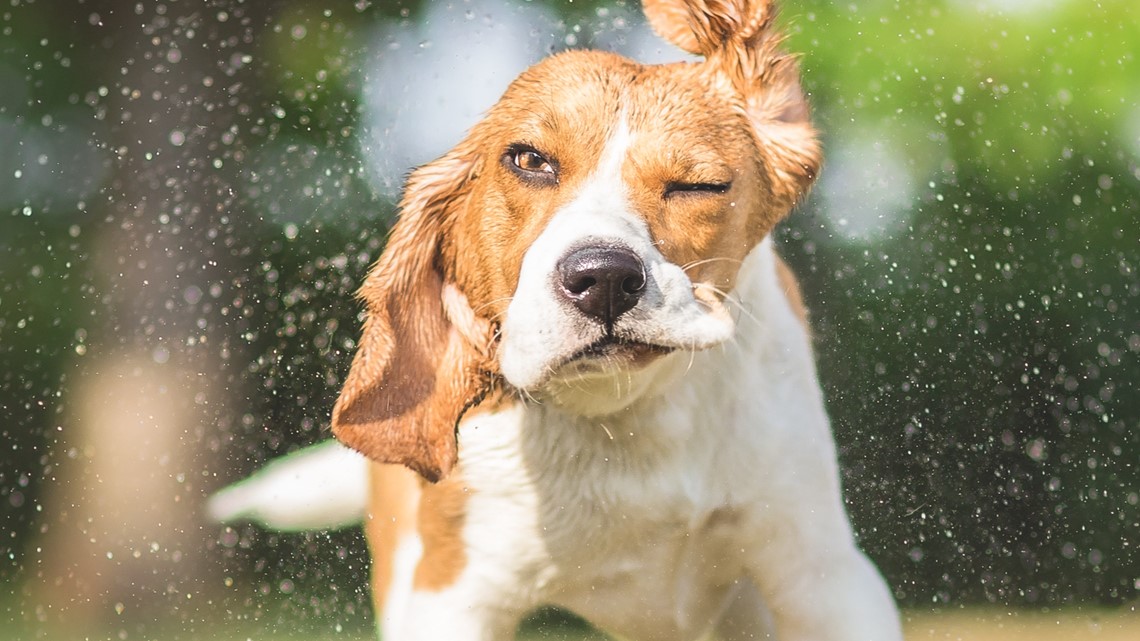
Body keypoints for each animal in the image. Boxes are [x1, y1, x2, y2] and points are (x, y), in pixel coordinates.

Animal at [209, 1, 902, 638]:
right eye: (528, 160)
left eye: (699, 186)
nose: (604, 278)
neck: (623, 421)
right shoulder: (452, 593)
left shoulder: (823, 576)